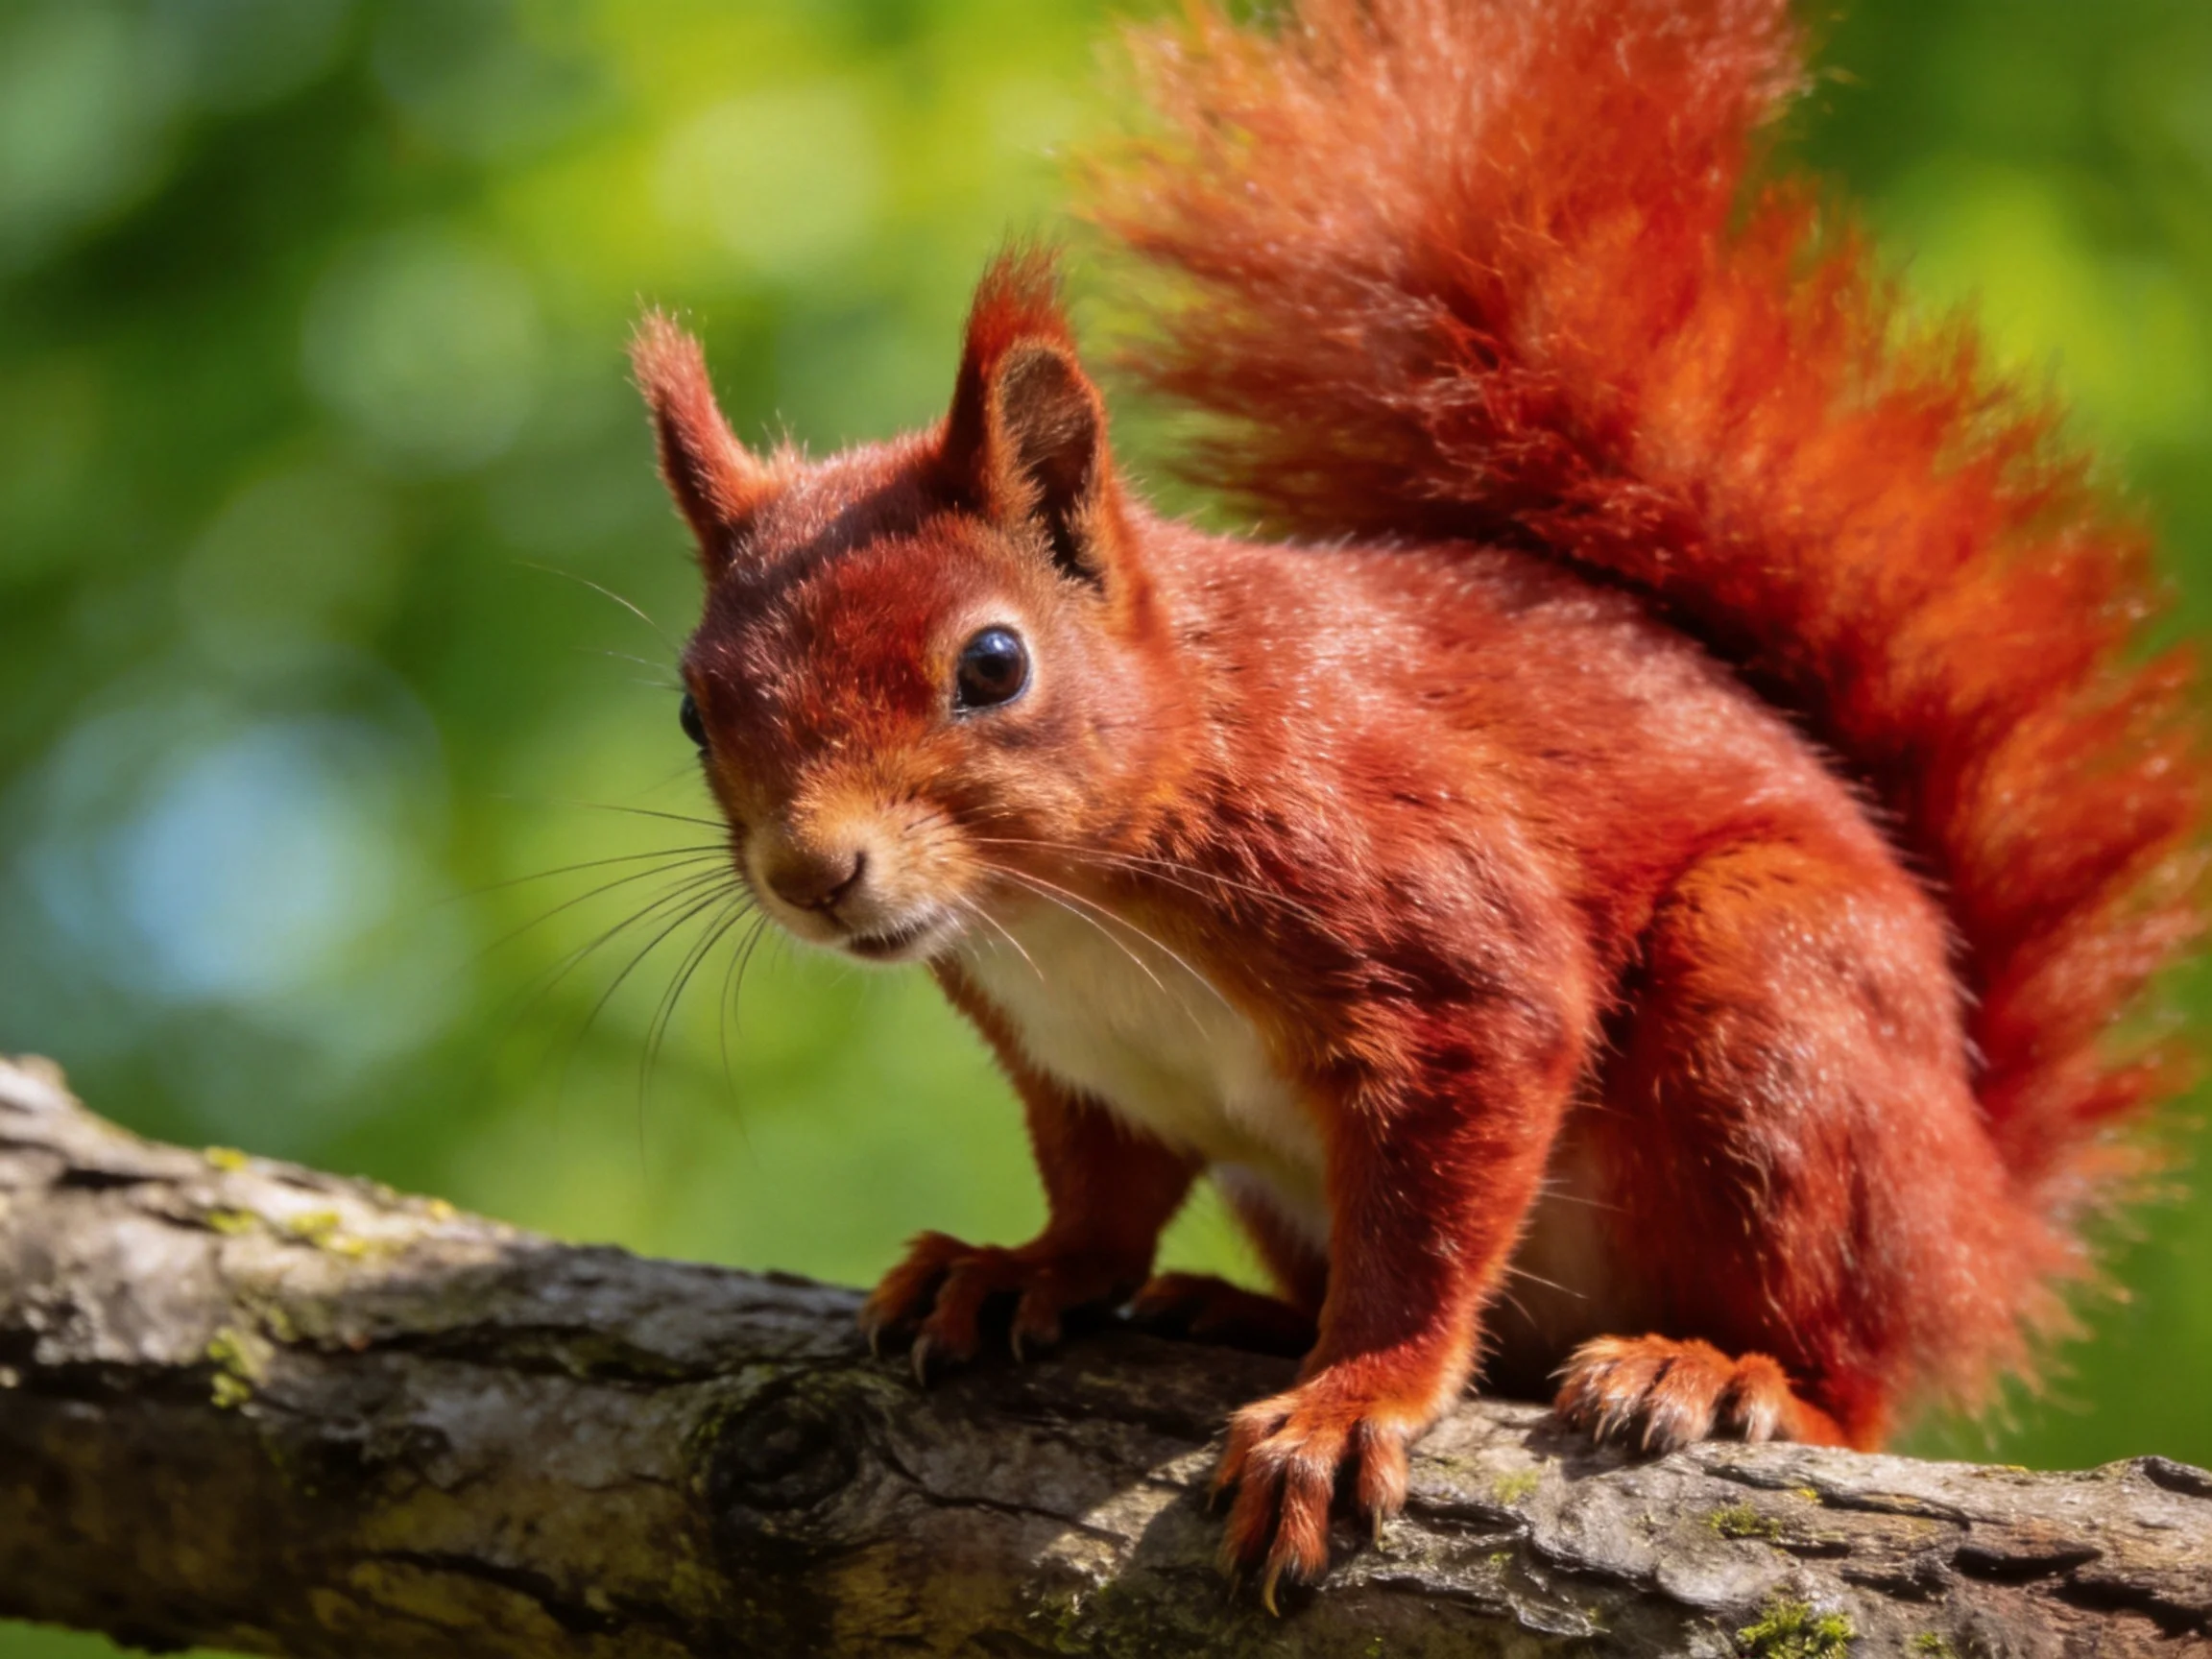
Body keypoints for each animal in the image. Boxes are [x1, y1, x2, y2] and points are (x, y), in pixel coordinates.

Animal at [631, 0, 2205, 1604]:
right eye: (693, 709)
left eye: (994, 664)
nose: (812, 872)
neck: (1070, 908)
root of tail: (1980, 1222)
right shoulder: (1078, 1063)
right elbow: (1102, 1203)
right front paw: (1020, 1269)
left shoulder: (1436, 942)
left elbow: (1428, 1225)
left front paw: (1349, 1402)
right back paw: (1242, 1312)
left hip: (1777, 1007)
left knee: (1853, 1375)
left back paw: (1720, 1373)